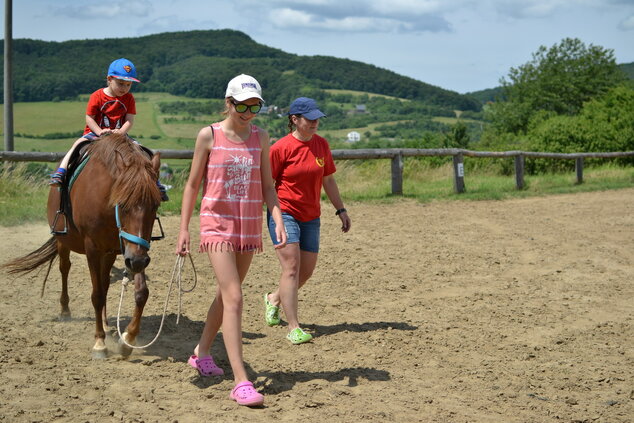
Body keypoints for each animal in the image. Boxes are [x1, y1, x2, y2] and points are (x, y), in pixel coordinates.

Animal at [3, 134, 162, 360]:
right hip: (64, 242)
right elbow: (96, 295)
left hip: (111, 252)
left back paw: (105, 322)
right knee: (65, 268)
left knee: (105, 281)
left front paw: (128, 339)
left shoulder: (132, 249)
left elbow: (140, 293)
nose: (138, 260)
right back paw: (65, 311)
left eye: (155, 205)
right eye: (122, 204)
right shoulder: (94, 248)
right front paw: (100, 343)